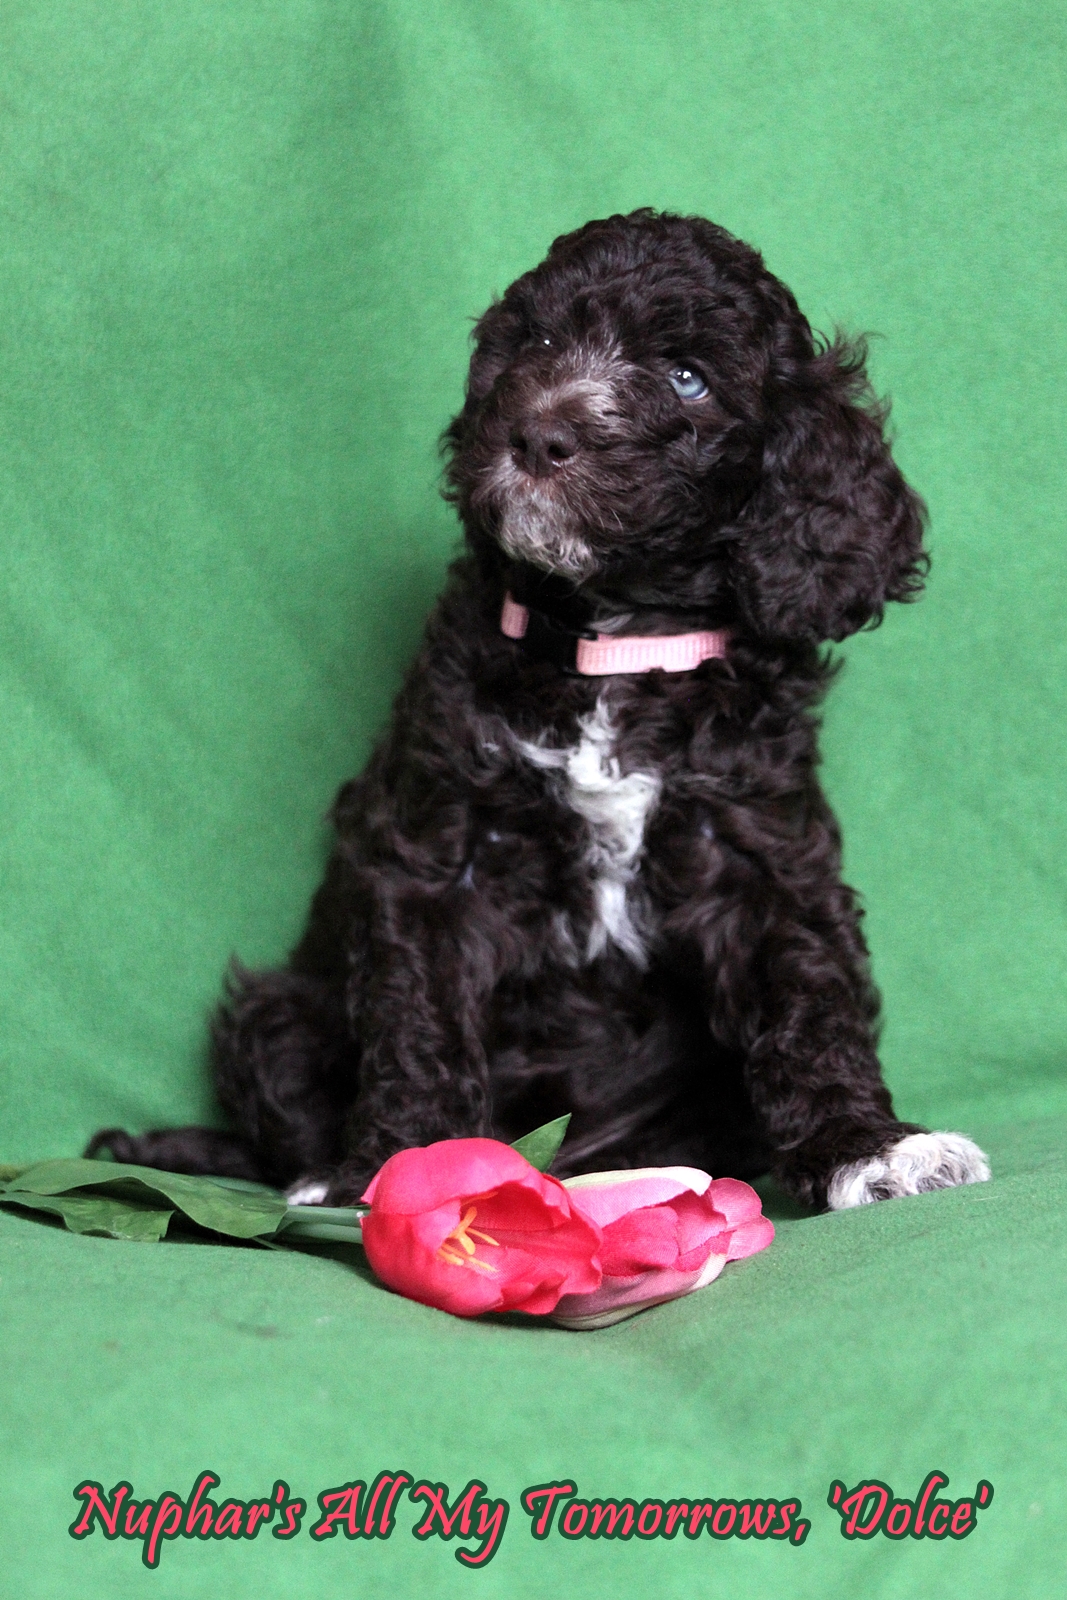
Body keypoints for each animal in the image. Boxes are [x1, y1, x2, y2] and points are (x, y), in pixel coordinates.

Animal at [89, 209, 990, 1211]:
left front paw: (866, 1146)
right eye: (540, 343)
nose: (536, 435)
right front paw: (401, 1164)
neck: (610, 646)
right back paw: (308, 1177)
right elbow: (420, 1019)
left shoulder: (758, 846)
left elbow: (808, 992)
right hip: (275, 1011)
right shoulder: (438, 853)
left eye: (687, 376)